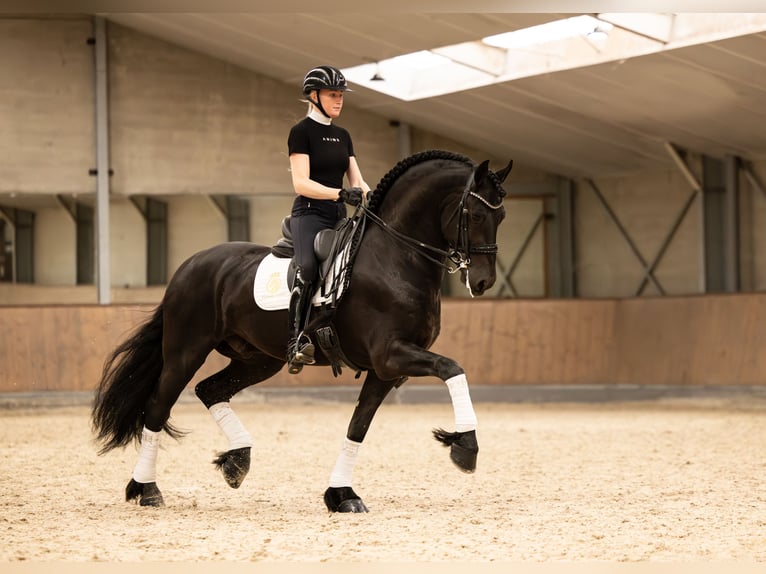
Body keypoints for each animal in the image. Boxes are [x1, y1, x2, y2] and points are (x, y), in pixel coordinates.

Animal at [91, 150, 516, 512]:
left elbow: (358, 426)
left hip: (258, 360)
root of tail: (189, 265)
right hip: (185, 351)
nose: (483, 282)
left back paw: (236, 461)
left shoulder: (385, 371)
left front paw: (341, 495)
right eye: (476, 215)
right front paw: (465, 446)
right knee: (157, 408)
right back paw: (147, 489)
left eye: (502, 217)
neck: (396, 256)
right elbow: (452, 367)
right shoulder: (391, 354)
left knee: (209, 390)